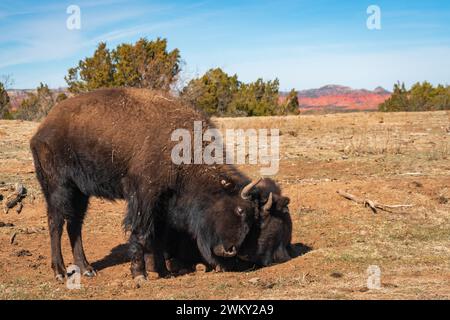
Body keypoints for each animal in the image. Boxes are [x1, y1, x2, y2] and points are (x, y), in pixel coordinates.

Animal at [29, 87, 294, 280]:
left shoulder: (164, 204)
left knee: (75, 225)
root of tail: (42, 129)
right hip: (58, 187)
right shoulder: (144, 198)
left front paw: (164, 271)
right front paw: (140, 274)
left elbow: (158, 236)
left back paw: (86, 269)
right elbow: (141, 233)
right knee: (56, 223)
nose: (228, 249)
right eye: (239, 210)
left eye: (252, 218)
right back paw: (60, 272)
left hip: (80, 192)